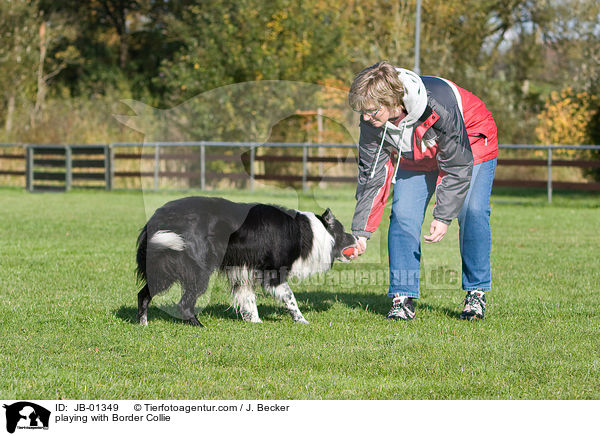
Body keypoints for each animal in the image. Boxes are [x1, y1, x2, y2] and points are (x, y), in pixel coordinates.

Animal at [135, 196, 356, 326]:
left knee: (143, 294)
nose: (356, 239)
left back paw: (143, 324)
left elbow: (248, 299)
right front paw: (302, 320)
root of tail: (158, 217)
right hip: (197, 270)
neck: (307, 232)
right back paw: (198, 325)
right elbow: (290, 297)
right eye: (344, 232)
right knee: (184, 303)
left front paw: (255, 322)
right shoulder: (273, 274)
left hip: (165, 268)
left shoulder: (244, 271)